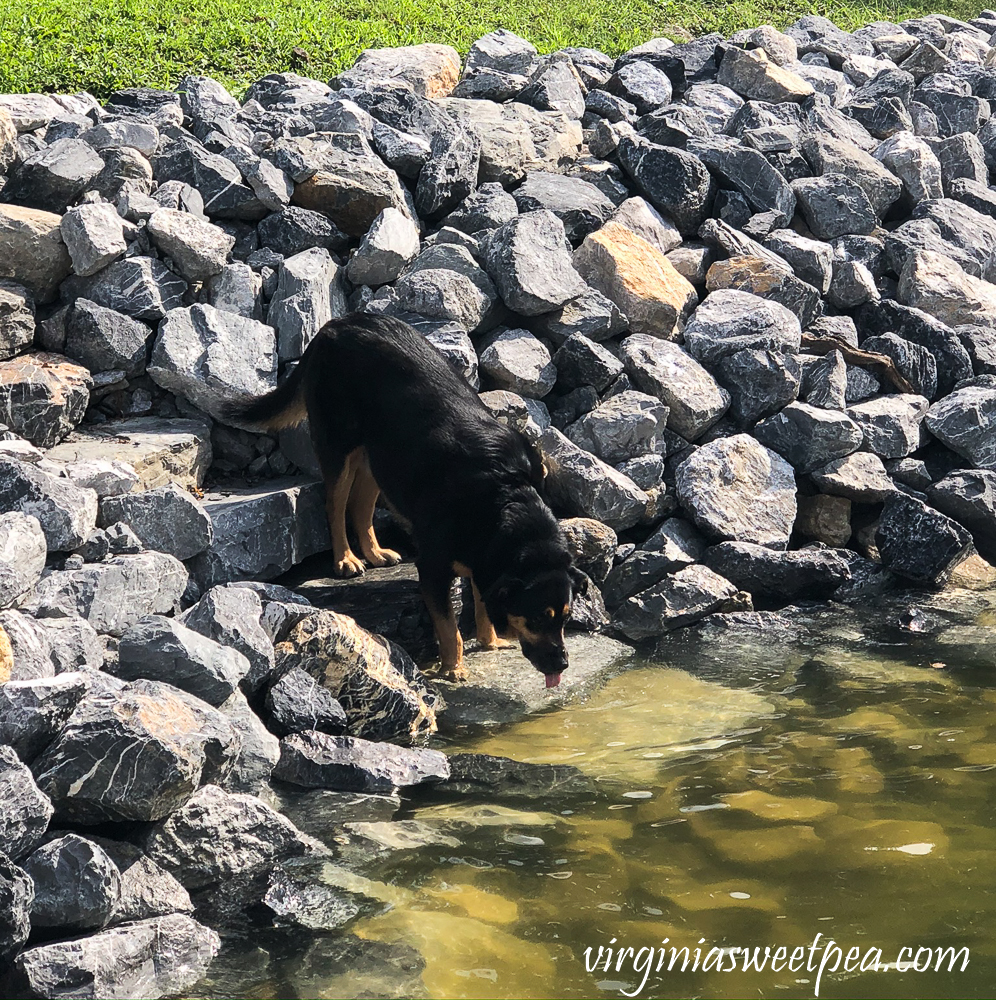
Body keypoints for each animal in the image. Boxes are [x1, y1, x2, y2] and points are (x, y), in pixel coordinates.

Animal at [228, 314, 584, 688]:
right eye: (537, 618)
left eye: (565, 618)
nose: (562, 664)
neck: (504, 496)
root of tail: (335, 324)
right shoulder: (433, 567)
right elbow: (450, 627)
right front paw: (454, 668)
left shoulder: (484, 555)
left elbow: (482, 599)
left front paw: (490, 642)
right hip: (338, 444)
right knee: (335, 504)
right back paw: (345, 559)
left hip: (381, 454)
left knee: (361, 504)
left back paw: (374, 552)